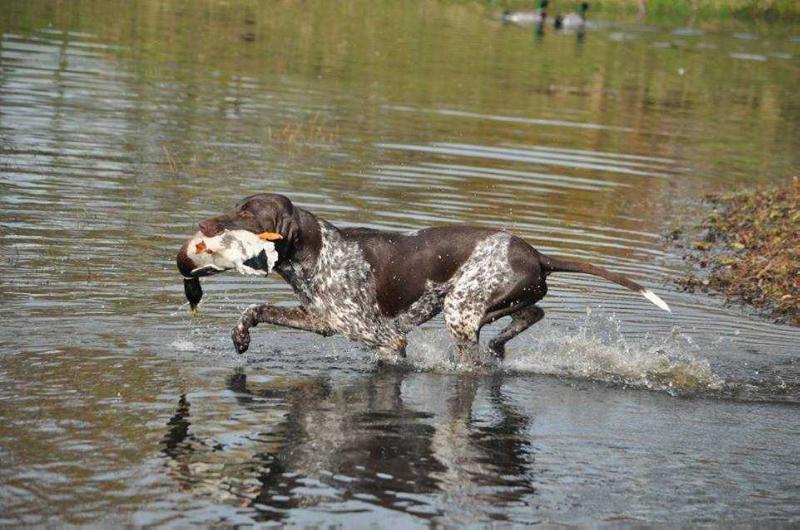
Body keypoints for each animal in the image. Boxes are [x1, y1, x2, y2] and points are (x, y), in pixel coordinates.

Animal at [178, 193, 672, 364]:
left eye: (248, 214)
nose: (201, 225)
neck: (319, 255)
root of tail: (537, 254)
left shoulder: (385, 339)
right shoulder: (322, 321)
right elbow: (254, 309)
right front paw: (240, 336)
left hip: (460, 309)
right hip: (493, 302)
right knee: (532, 313)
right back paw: (500, 343)